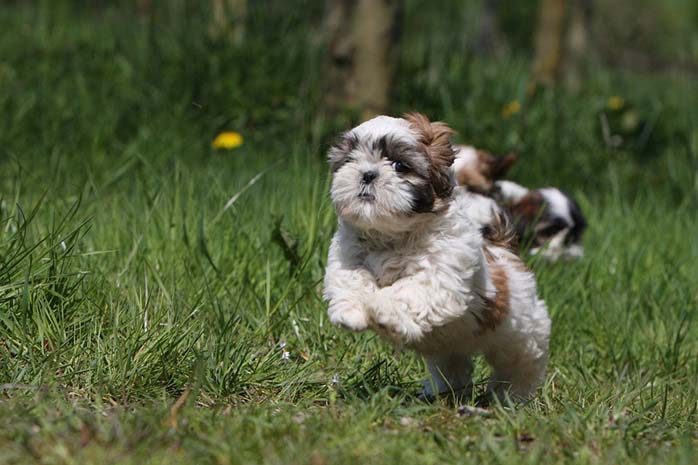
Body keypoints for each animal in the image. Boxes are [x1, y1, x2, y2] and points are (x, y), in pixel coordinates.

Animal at [320, 113, 548, 398]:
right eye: (351, 160)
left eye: (400, 165)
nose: (368, 174)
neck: (392, 236)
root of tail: (503, 248)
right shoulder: (348, 256)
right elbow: (351, 277)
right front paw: (351, 311)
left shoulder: (442, 273)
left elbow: (408, 289)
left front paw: (382, 309)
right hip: (451, 346)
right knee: (452, 363)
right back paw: (442, 389)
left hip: (518, 330)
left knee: (523, 359)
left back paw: (512, 394)